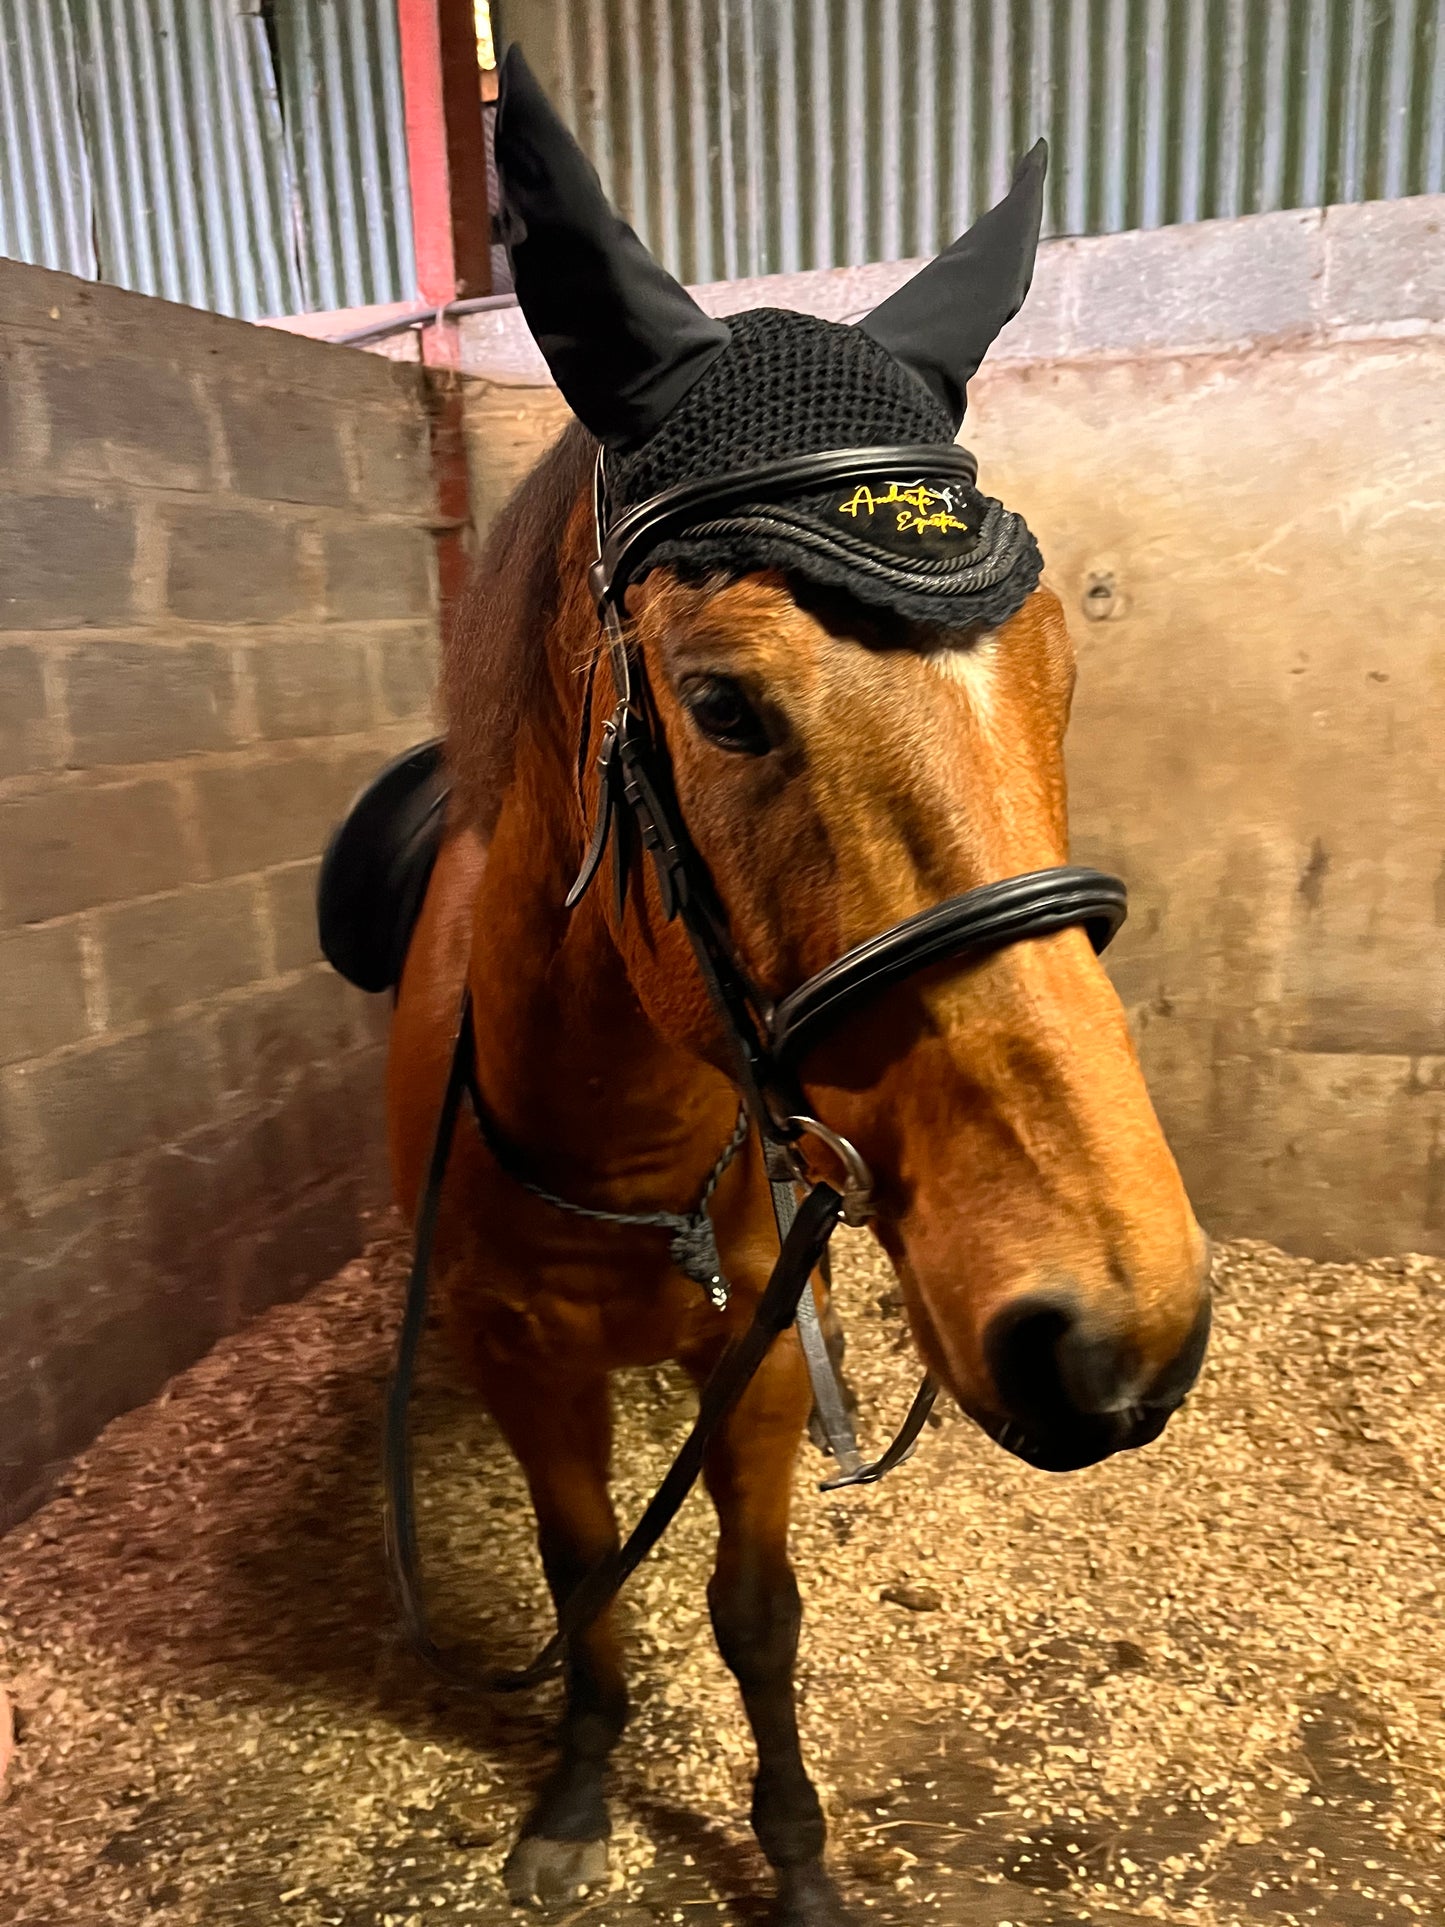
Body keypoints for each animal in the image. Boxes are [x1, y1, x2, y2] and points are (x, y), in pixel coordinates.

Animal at [375, 45, 1209, 1927]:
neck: (620, 1143)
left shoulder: (755, 1357)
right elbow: (583, 1569)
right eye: (724, 701)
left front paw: (799, 1849)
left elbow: (755, 1609)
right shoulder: (520, 1354)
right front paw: (577, 1789)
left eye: (1057, 668)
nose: (1123, 1331)